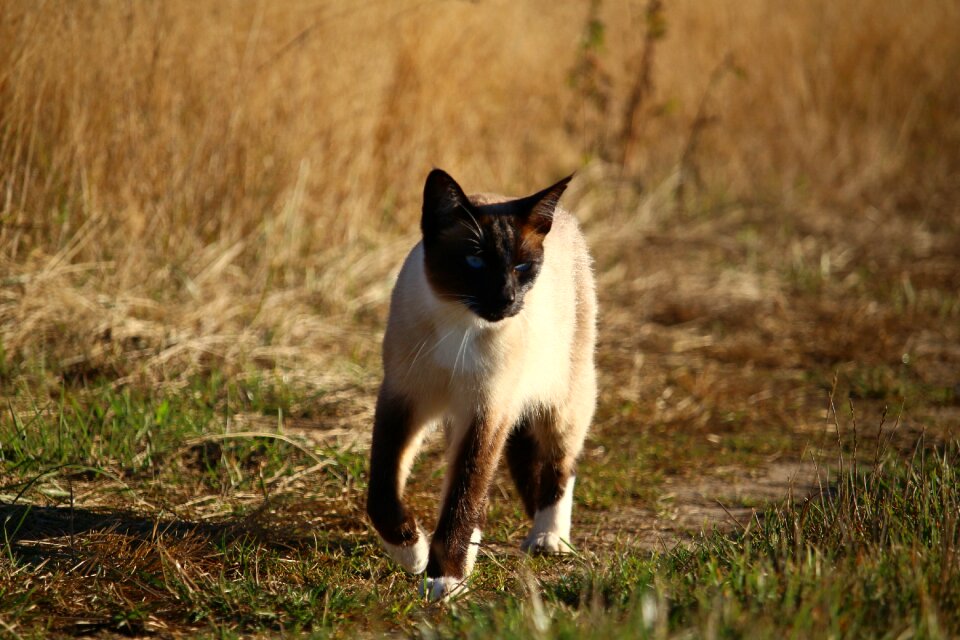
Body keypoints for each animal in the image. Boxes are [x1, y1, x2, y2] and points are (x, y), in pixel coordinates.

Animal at [366, 169, 596, 600]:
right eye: (474, 261)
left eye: (522, 267)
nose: (506, 299)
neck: (460, 323)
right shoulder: (403, 399)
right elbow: (382, 491)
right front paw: (414, 554)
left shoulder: (487, 411)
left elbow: (464, 495)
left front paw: (444, 578)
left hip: (562, 400)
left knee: (559, 467)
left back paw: (549, 539)